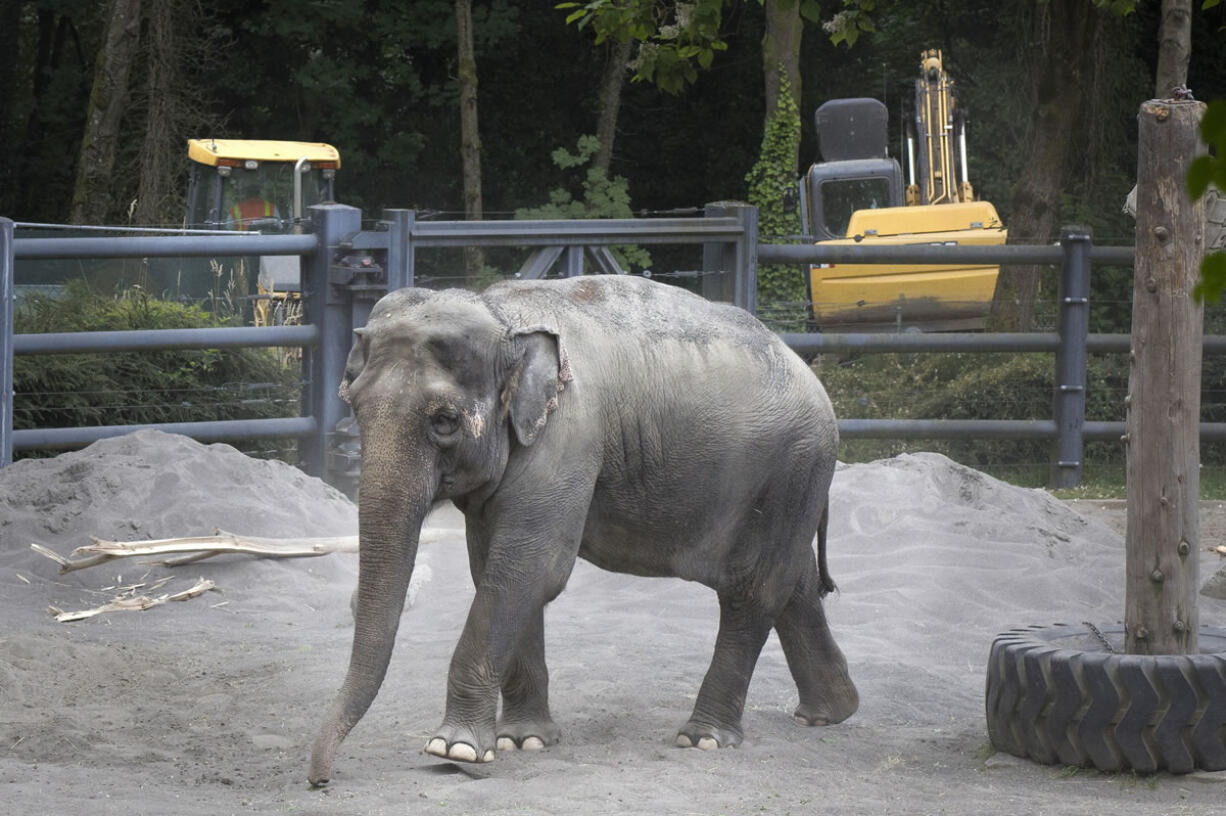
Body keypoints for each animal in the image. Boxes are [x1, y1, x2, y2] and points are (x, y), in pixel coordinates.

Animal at [311, 273, 858, 784]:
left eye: (444, 421)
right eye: (354, 407)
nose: (321, 778)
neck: (501, 316)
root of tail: (807, 370)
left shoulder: (568, 436)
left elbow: (530, 568)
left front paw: (456, 751)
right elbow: (500, 570)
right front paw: (523, 740)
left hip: (791, 468)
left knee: (753, 590)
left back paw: (704, 737)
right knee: (794, 583)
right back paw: (829, 713)